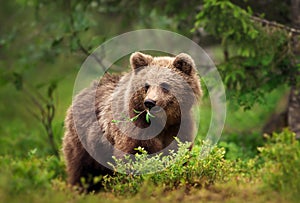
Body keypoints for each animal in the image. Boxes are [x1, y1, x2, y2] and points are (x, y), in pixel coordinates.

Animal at [62, 51, 203, 191]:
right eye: (146, 85)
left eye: (165, 85)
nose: (150, 102)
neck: (162, 123)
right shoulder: (136, 130)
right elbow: (130, 157)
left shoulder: (179, 127)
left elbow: (179, 153)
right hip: (84, 140)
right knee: (81, 167)